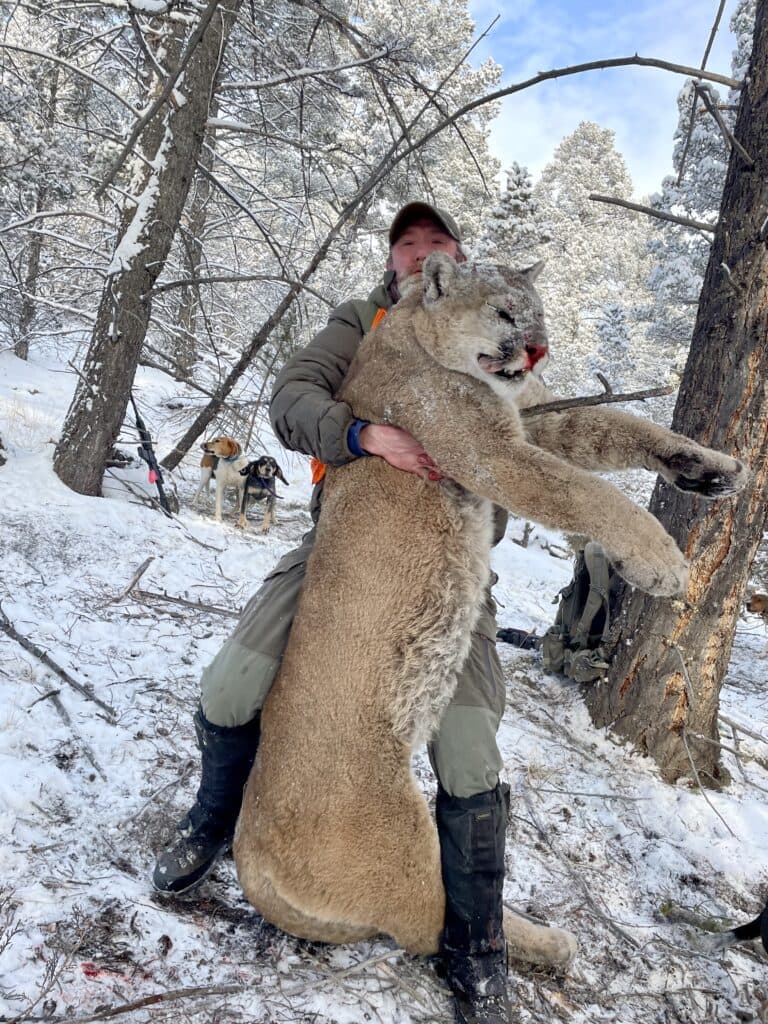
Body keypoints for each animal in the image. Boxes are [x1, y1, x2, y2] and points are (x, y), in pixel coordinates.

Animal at [233, 253, 747, 965]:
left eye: (541, 312)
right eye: (505, 312)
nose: (538, 350)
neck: (417, 333)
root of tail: (248, 858)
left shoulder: (532, 418)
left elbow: (621, 430)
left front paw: (710, 467)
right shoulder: (493, 451)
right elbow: (586, 493)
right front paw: (663, 564)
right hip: (394, 837)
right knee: (431, 920)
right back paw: (547, 941)